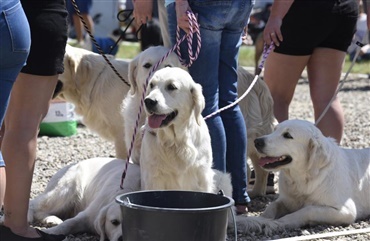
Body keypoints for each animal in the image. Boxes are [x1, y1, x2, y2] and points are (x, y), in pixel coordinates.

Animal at [237, 119, 370, 234]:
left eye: (287, 135)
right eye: (275, 130)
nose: (257, 142)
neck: (302, 178)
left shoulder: (346, 211)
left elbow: (308, 210)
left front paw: (282, 222)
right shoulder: (287, 200)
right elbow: (272, 206)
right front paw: (262, 220)